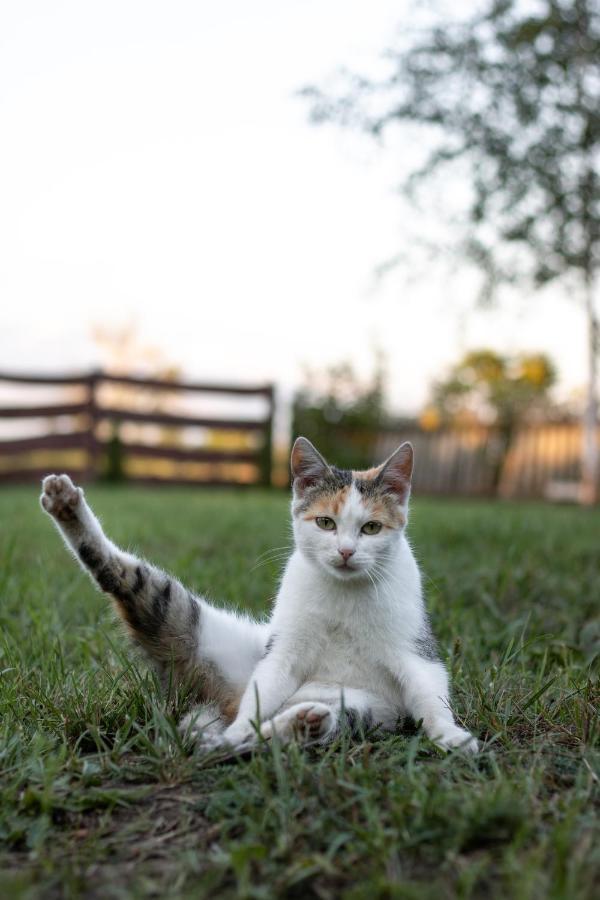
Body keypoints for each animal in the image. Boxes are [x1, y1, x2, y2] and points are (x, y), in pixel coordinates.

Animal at [39, 436, 478, 752]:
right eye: (325, 522)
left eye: (371, 528)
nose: (346, 551)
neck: (344, 591)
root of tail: (224, 701)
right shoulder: (282, 652)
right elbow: (266, 687)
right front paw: (239, 731)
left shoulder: (414, 648)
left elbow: (429, 691)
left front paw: (450, 735)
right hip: (191, 623)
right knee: (121, 575)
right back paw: (66, 505)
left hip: (358, 706)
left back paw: (300, 725)